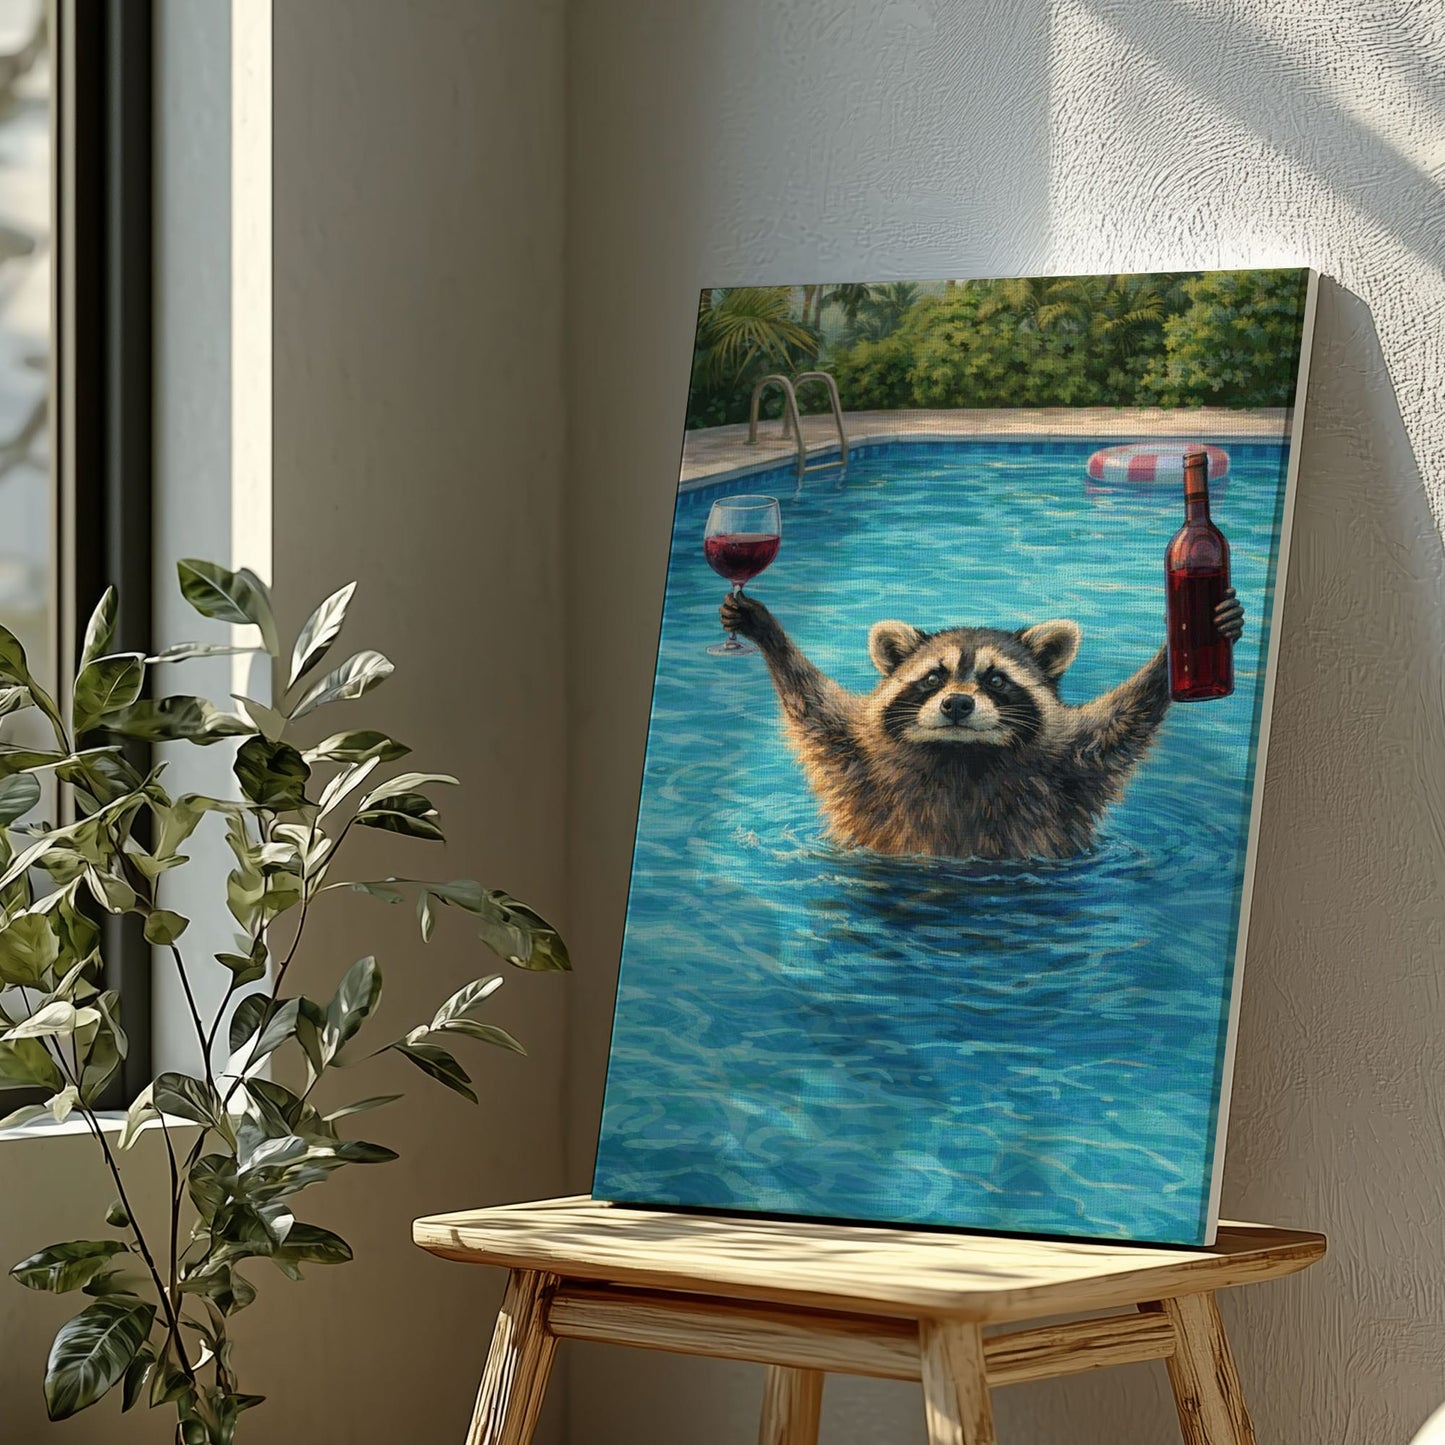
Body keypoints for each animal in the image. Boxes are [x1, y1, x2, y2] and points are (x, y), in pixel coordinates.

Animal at [720, 590, 1242, 860]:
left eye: (996, 679)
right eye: (933, 678)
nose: (956, 704)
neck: (960, 755)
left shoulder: (1073, 766)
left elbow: (1124, 721)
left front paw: (1178, 646)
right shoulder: (855, 758)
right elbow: (810, 704)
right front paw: (770, 635)